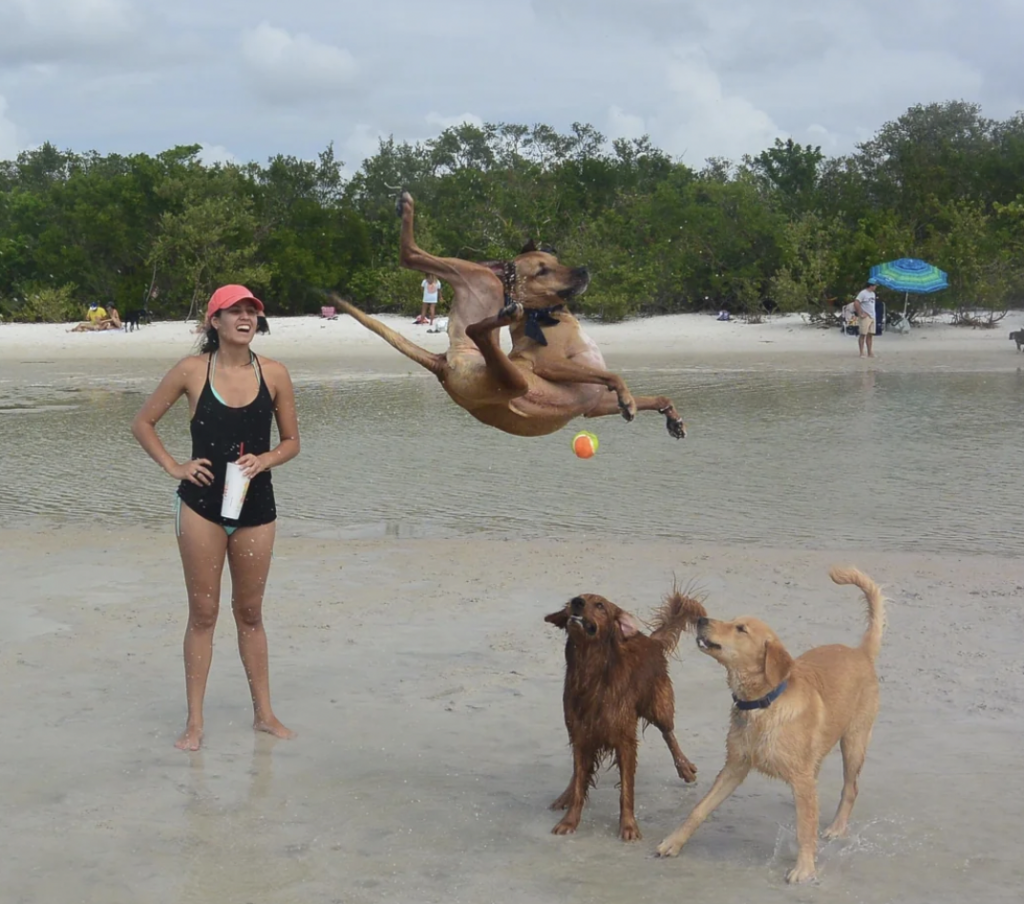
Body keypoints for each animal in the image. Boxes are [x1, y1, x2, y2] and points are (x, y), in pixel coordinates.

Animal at [331, 192, 684, 440]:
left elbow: (653, 395)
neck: (546, 317)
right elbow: (613, 375)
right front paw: (627, 398)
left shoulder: (593, 406)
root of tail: (445, 363)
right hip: (507, 356)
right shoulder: (548, 365)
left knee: (469, 321)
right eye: (543, 271)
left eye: (556, 260)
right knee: (427, 274)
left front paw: (669, 414)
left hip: (484, 301)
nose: (584, 270)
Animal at [548, 585, 708, 839]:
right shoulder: (581, 736)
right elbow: (580, 782)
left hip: (658, 705)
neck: (589, 674)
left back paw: (684, 767)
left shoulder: (625, 741)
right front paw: (569, 820)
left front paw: (629, 826)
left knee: (669, 733)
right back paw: (565, 794)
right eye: (578, 598)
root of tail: (651, 640)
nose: (576, 602)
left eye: (600, 605)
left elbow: (626, 790)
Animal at [655, 565, 888, 884]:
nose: (701, 619)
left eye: (741, 629)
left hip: (854, 741)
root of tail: (860, 652)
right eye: (732, 621)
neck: (762, 706)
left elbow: (805, 829)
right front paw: (673, 842)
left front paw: (805, 868)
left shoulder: (799, 775)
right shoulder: (735, 766)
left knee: (849, 789)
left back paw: (836, 827)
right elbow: (699, 809)